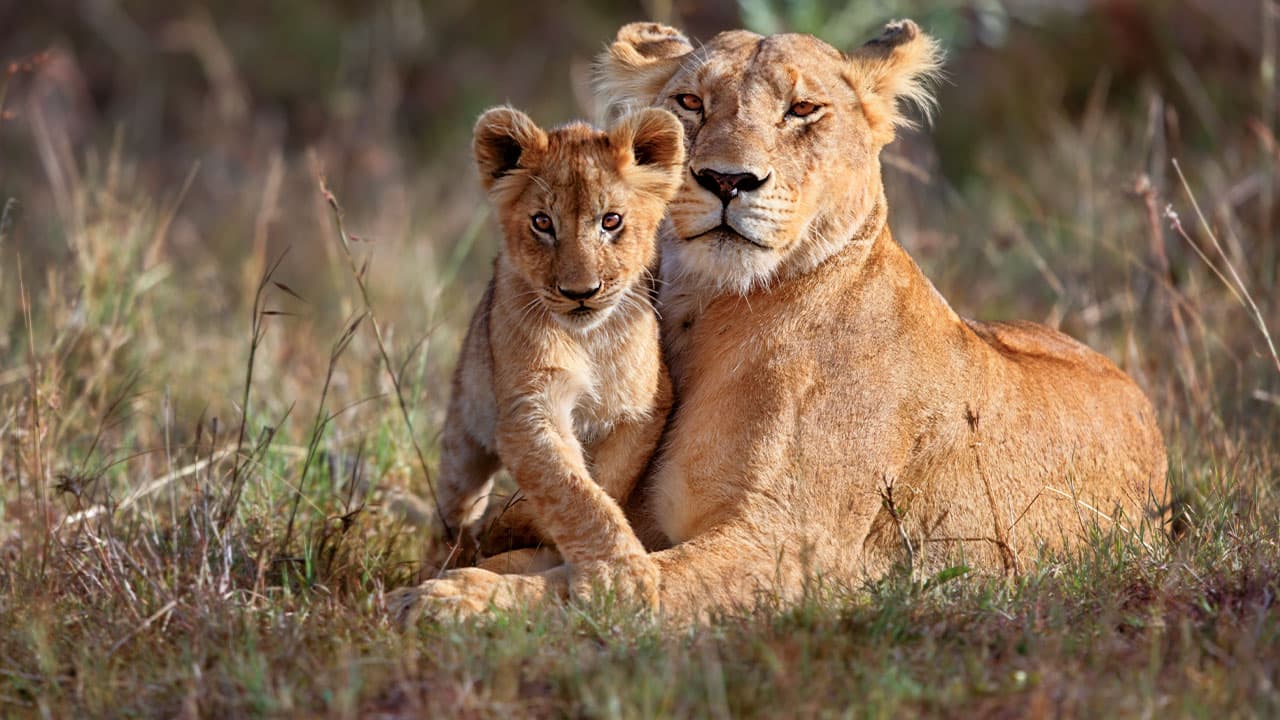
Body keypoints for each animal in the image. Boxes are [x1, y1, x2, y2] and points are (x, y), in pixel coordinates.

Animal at [428, 106, 684, 579]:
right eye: (542, 223)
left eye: (611, 221)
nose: (580, 292)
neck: (590, 339)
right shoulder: (529, 410)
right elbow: (573, 493)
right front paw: (623, 574)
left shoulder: (644, 408)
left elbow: (606, 482)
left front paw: (514, 524)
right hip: (463, 434)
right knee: (453, 508)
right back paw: (444, 558)